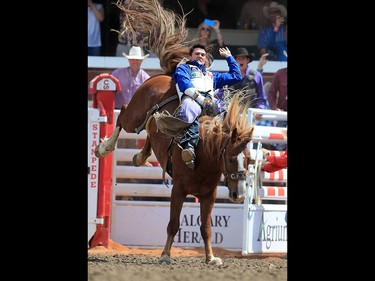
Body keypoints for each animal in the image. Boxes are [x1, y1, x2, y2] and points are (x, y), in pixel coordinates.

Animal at [94, 72, 256, 264]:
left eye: (249, 160)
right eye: (231, 159)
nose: (240, 195)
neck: (202, 154)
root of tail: (165, 76)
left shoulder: (209, 195)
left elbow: (206, 227)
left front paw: (210, 257)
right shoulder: (178, 190)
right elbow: (173, 224)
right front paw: (165, 255)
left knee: (151, 130)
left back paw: (140, 156)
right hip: (133, 118)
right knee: (123, 115)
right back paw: (104, 148)